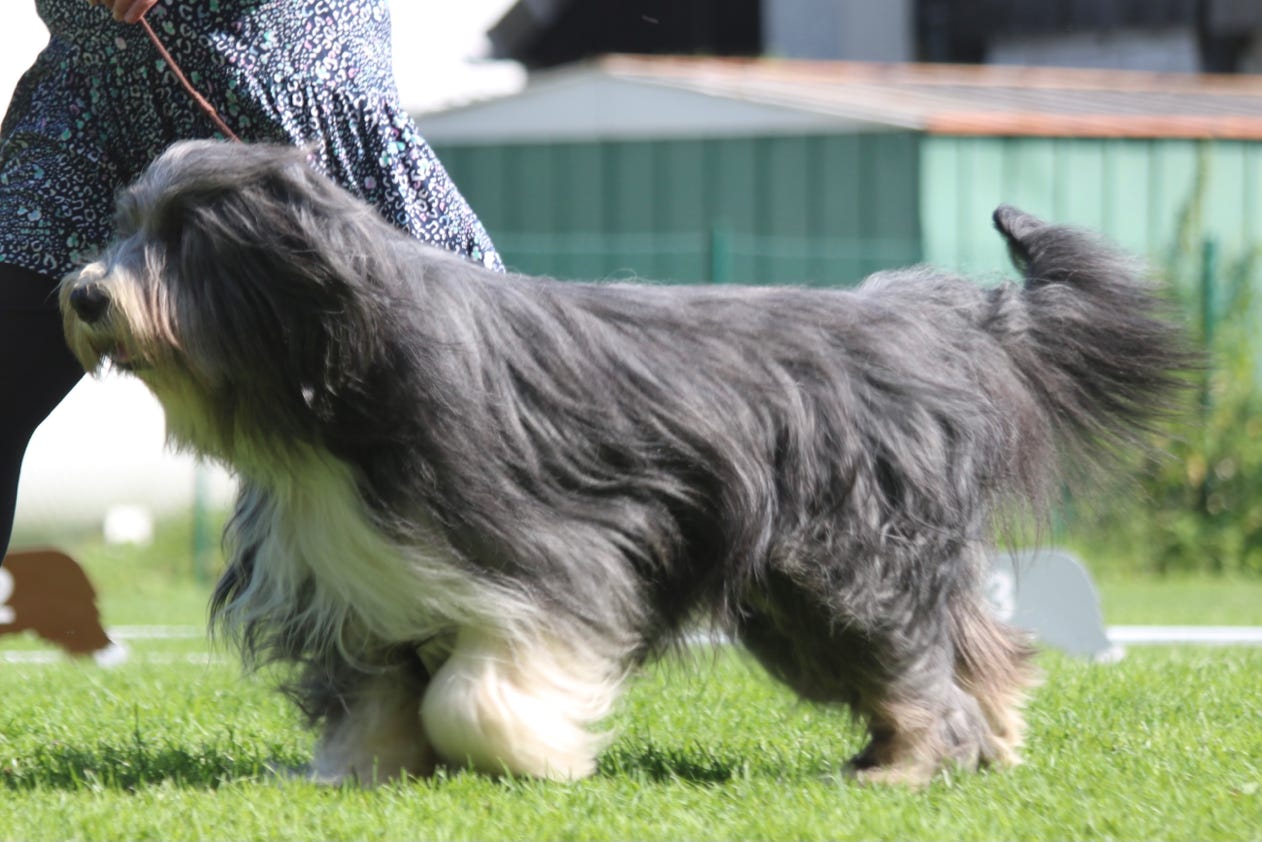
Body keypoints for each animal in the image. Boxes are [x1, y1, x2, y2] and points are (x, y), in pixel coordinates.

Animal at [59, 141, 1186, 787]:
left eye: (186, 234)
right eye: (125, 224)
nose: (83, 294)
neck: (337, 386)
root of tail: (926, 320)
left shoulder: (554, 552)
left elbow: (472, 691)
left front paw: (530, 753)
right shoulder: (351, 580)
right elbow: (376, 694)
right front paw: (357, 772)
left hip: (846, 564)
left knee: (911, 661)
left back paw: (905, 767)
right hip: (807, 589)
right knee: (973, 643)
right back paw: (977, 740)